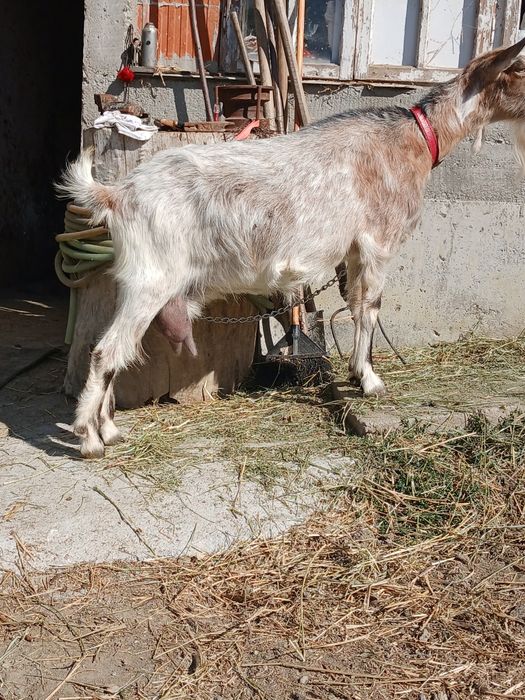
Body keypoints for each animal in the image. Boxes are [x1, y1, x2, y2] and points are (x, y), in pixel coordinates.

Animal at [58, 38, 525, 458]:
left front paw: (356, 372)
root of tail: (118, 194)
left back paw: (110, 429)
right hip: (151, 281)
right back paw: (90, 439)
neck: (416, 137)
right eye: (519, 70)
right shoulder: (379, 241)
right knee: (105, 351)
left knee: (116, 350)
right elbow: (371, 308)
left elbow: (356, 304)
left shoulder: (354, 249)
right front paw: (370, 381)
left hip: (139, 283)